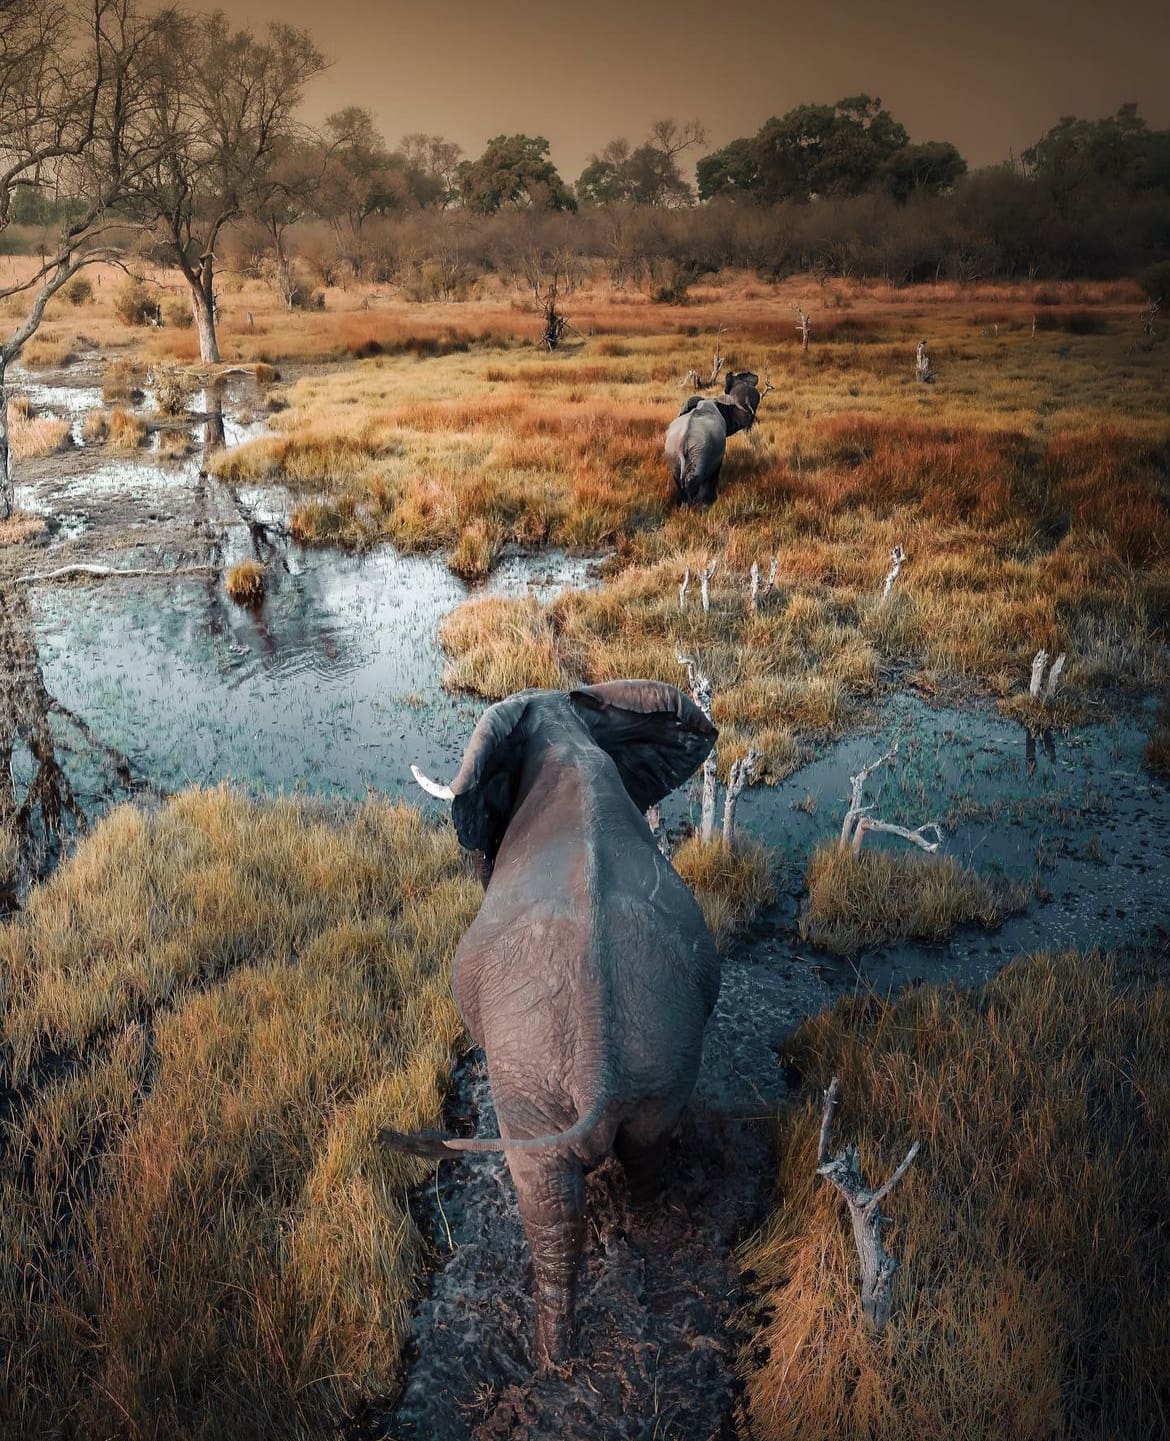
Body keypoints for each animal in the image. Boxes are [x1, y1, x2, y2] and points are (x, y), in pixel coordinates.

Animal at [381, 681, 720, 1366]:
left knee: (548, 1207)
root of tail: (597, 1065)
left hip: (529, 1082)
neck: (567, 727)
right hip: (664, 1066)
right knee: (646, 1159)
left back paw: (552, 1359)